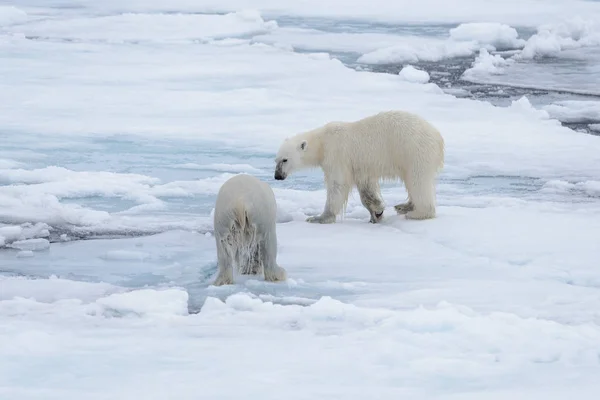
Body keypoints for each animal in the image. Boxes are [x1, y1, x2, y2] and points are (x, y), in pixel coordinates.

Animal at [274, 111, 442, 223]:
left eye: (285, 160)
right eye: (276, 159)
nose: (277, 176)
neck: (322, 142)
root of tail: (438, 136)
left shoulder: (336, 155)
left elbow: (337, 185)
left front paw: (319, 218)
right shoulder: (361, 167)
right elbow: (367, 189)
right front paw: (377, 212)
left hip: (413, 151)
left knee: (418, 180)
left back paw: (418, 213)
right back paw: (404, 206)